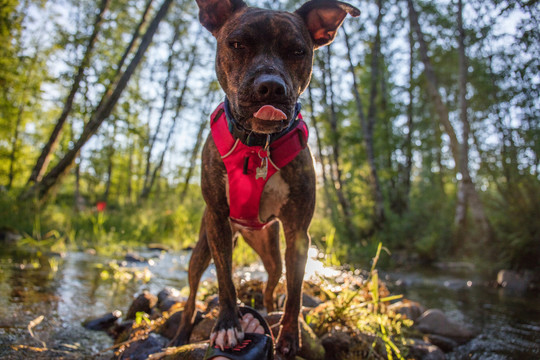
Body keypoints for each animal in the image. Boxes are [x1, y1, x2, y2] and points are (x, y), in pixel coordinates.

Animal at [173, 0, 358, 358]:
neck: (260, 143)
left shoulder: (298, 233)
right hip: (202, 248)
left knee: (273, 285)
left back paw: (268, 313)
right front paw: (228, 324)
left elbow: (295, 293)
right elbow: (226, 281)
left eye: (298, 51)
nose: (270, 86)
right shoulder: (217, 221)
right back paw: (180, 335)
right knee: (191, 294)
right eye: (237, 44)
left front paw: (289, 337)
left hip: (271, 249)